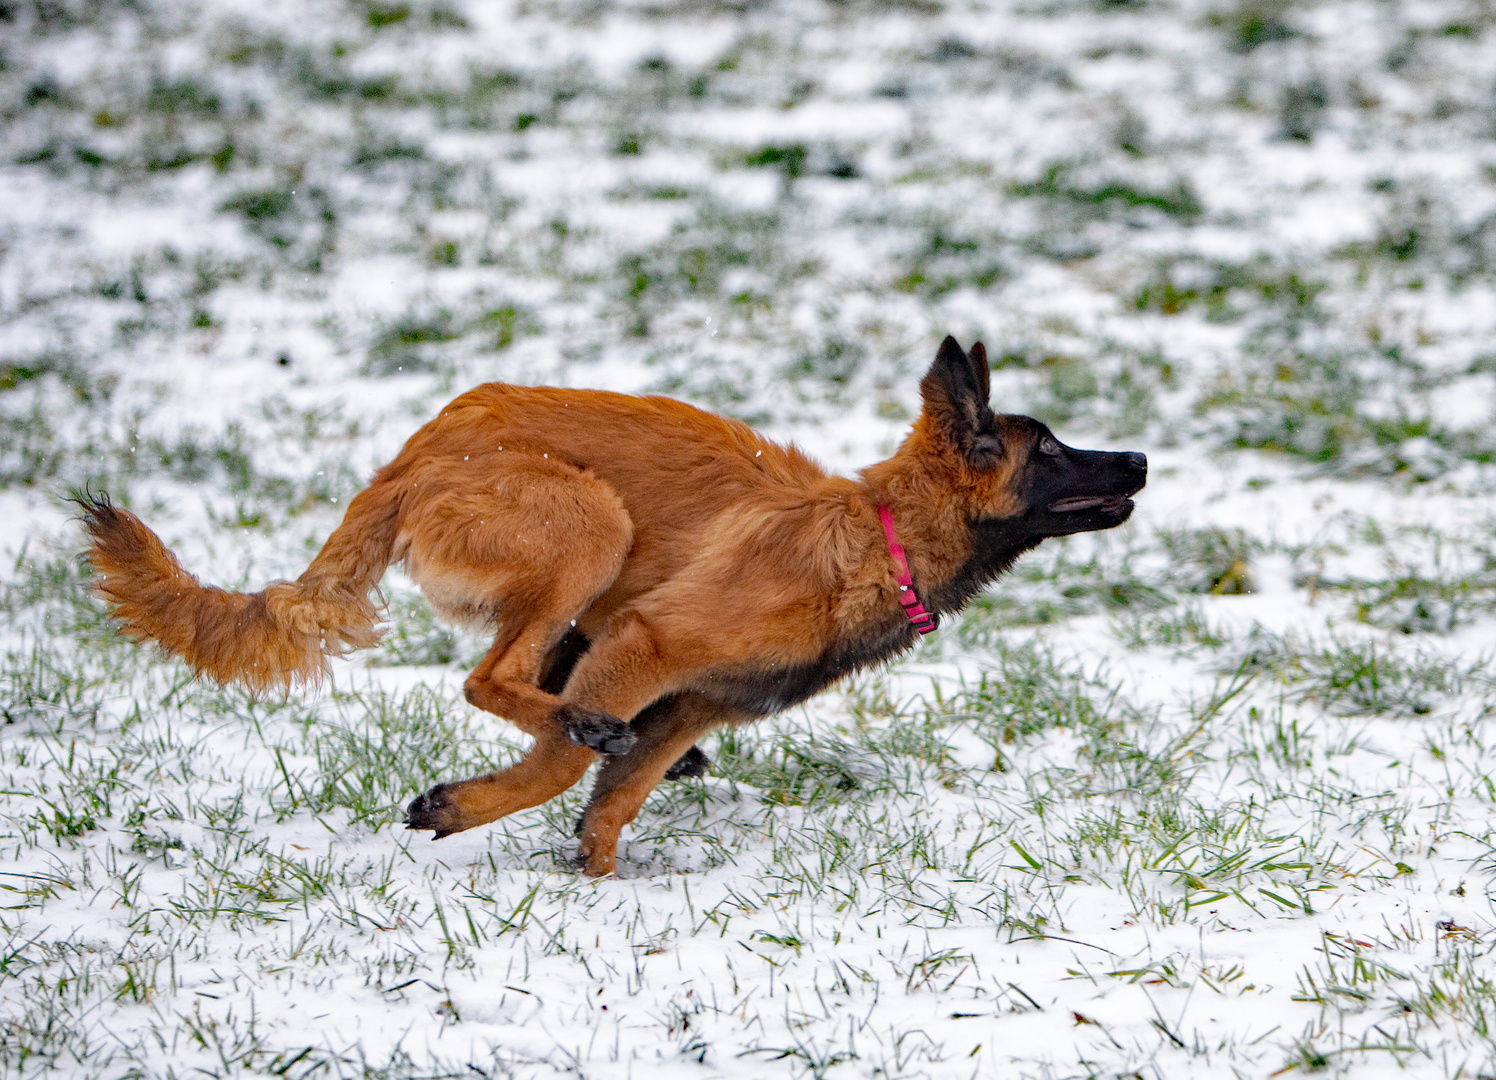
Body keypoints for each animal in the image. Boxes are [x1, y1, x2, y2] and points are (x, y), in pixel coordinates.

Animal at [78, 336, 1142, 873]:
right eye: (1050, 447)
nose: (1136, 457)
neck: (878, 532)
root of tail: (416, 455)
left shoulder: (692, 705)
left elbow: (611, 808)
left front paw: (592, 888)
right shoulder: (643, 644)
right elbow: (565, 768)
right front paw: (467, 807)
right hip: (592, 525)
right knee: (490, 679)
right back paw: (566, 719)